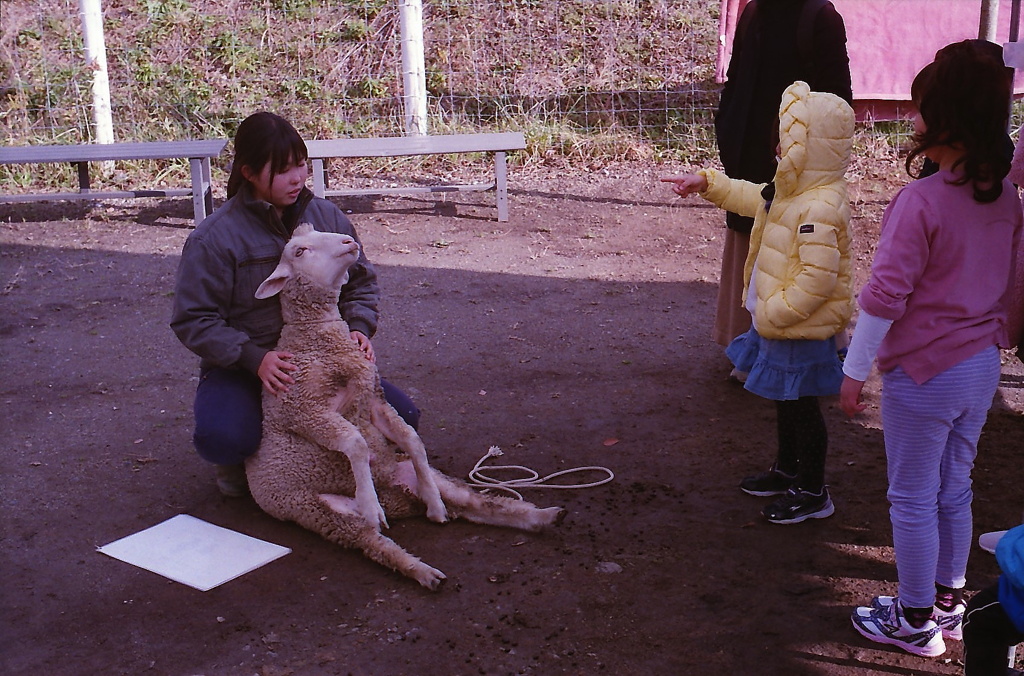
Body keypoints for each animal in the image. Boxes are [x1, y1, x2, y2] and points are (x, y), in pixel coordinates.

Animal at [247, 224, 569, 589]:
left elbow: (412, 439)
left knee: (478, 504)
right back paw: (421, 569)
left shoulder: (372, 401)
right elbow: (356, 442)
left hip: (421, 478)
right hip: (319, 510)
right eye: (299, 251)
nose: (349, 241)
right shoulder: (303, 410)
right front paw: (369, 503)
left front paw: (433, 503)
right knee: (376, 543)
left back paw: (538, 516)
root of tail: (397, 494)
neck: (317, 338)